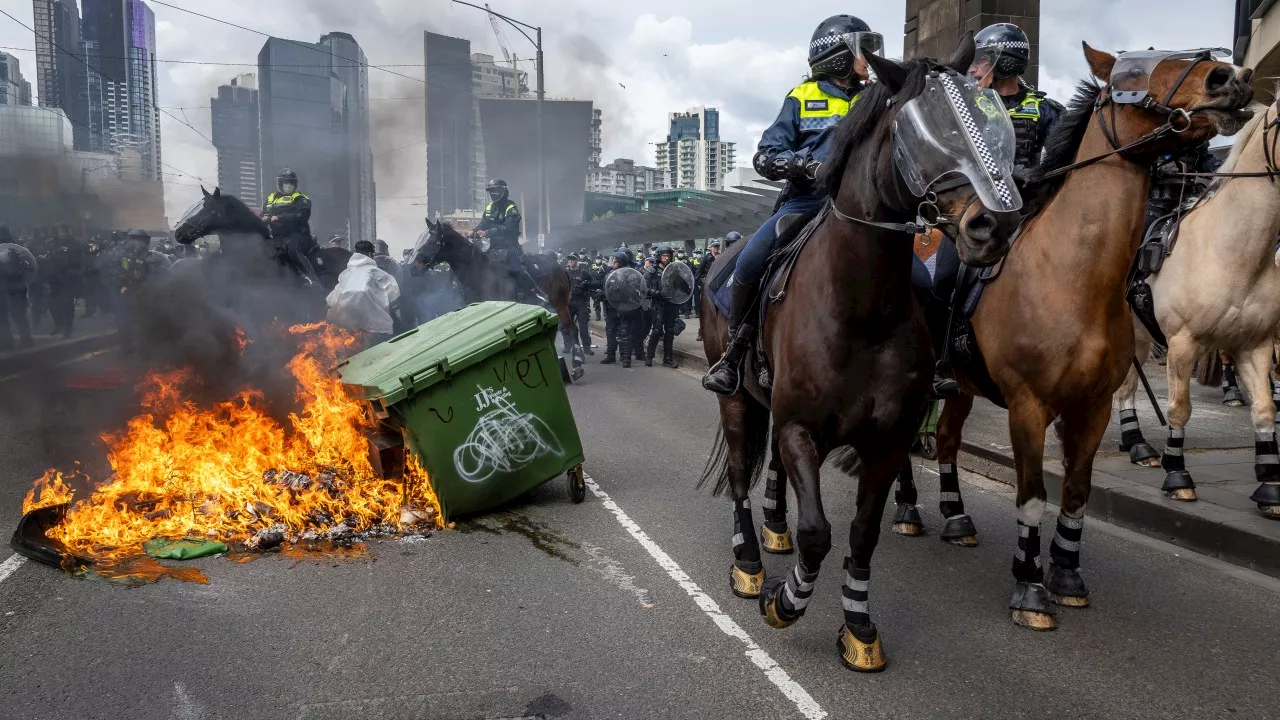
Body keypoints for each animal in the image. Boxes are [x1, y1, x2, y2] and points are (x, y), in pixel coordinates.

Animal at [696, 37, 1024, 666]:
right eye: (922, 131)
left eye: (992, 120)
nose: (995, 225)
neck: (861, 311)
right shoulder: (800, 427)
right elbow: (817, 532)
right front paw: (785, 600)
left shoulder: (887, 440)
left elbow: (861, 533)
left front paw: (858, 627)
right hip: (736, 399)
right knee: (744, 471)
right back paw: (749, 561)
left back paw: (772, 533)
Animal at [885, 46, 1254, 627]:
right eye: (1131, 74)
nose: (1231, 76)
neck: (1071, 277)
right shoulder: (1028, 405)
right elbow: (1033, 494)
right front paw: (1030, 585)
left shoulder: (1092, 406)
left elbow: (1076, 492)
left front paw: (1065, 573)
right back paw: (906, 508)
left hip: (961, 384)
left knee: (944, 439)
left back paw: (956, 517)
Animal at [1111, 101, 1280, 515]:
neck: (1234, 253)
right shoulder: (1182, 343)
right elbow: (1179, 408)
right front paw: (1178, 476)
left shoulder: (1255, 345)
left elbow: (1265, 410)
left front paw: (1269, 486)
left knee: (1125, 386)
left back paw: (1136, 445)